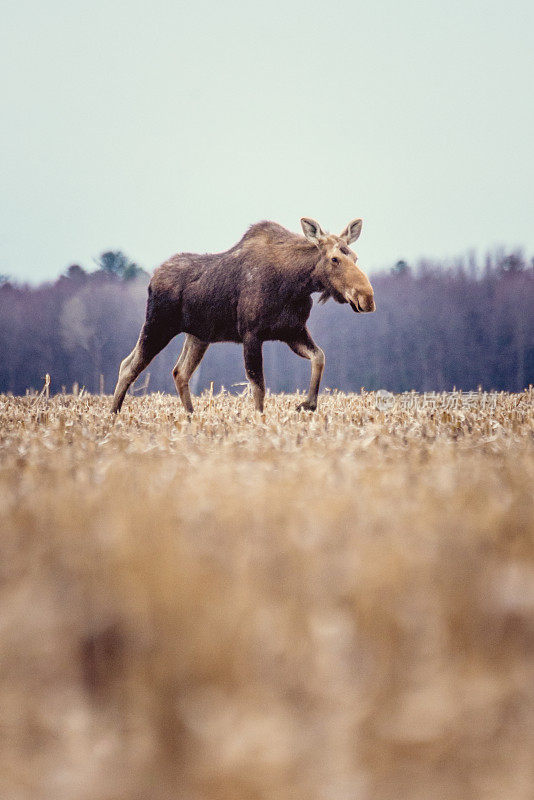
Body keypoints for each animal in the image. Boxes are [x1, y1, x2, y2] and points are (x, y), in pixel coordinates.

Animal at [111, 219, 374, 418]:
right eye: (334, 259)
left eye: (356, 257)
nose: (367, 298)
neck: (297, 284)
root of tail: (152, 279)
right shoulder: (251, 334)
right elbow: (258, 386)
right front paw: (260, 421)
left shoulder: (292, 331)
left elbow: (319, 357)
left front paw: (306, 404)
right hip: (157, 325)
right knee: (128, 365)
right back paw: (113, 415)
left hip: (198, 336)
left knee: (180, 372)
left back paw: (191, 417)